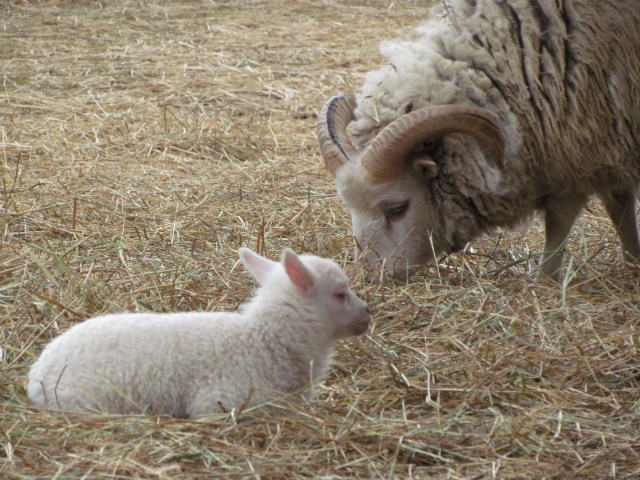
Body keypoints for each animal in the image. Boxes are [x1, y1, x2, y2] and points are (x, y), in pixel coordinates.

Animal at [318, 0, 640, 281]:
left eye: (398, 208)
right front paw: (633, 261)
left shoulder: (574, 152)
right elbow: (619, 204)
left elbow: (560, 219)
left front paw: (546, 279)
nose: (376, 277)